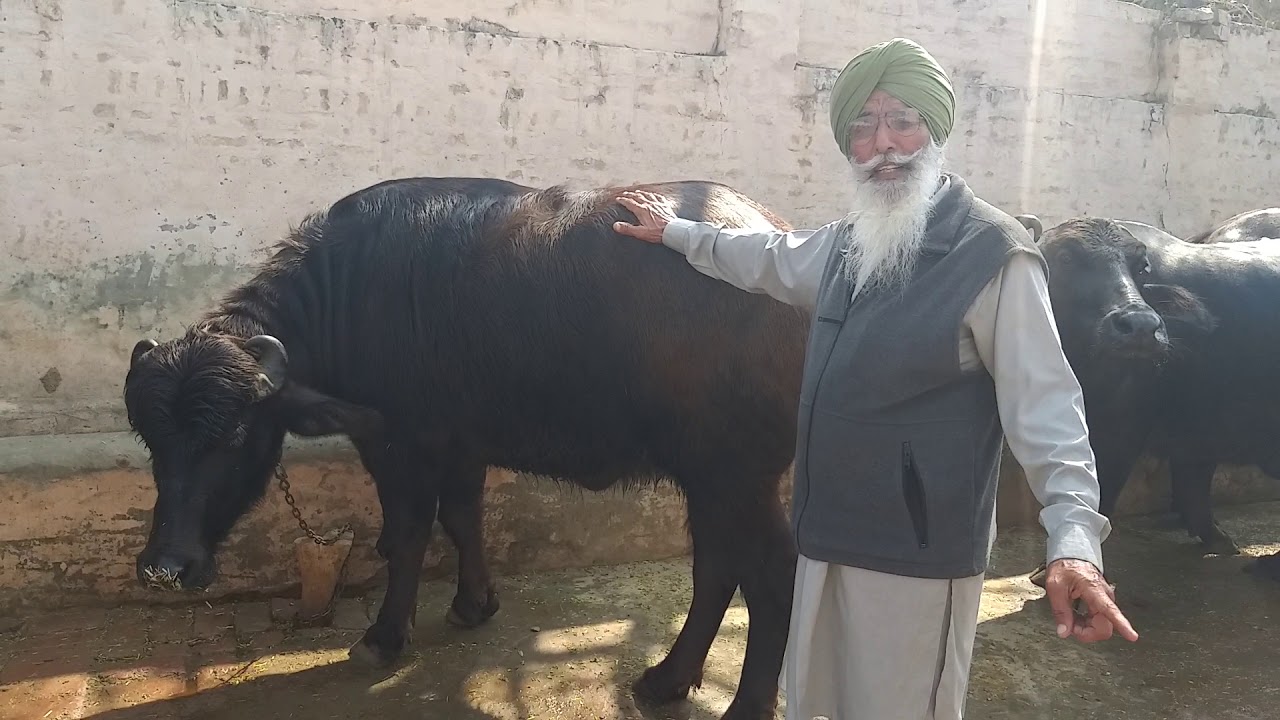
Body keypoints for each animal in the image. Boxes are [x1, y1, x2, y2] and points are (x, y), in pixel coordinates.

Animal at [123, 176, 812, 720]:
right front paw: (474, 604)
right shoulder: (461, 444)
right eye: (152, 441)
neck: (348, 294)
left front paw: (383, 636)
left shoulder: (401, 444)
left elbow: (406, 535)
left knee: (771, 575)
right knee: (716, 567)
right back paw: (667, 679)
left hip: (739, 476)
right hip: (710, 477)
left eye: (232, 438)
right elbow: (462, 518)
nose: (164, 568)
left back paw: (746, 705)